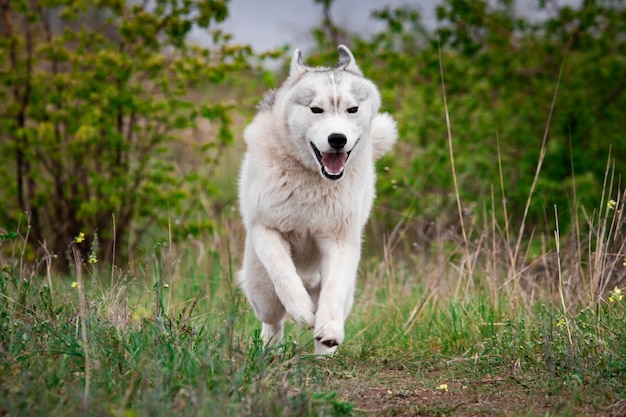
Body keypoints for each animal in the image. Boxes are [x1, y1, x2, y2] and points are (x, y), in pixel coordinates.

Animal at [238, 44, 394, 352]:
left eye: (352, 109)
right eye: (316, 109)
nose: (337, 139)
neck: (313, 180)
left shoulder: (340, 241)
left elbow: (333, 292)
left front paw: (328, 330)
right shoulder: (266, 229)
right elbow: (285, 274)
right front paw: (302, 311)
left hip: (346, 290)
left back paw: (322, 351)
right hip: (261, 292)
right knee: (273, 320)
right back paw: (271, 351)